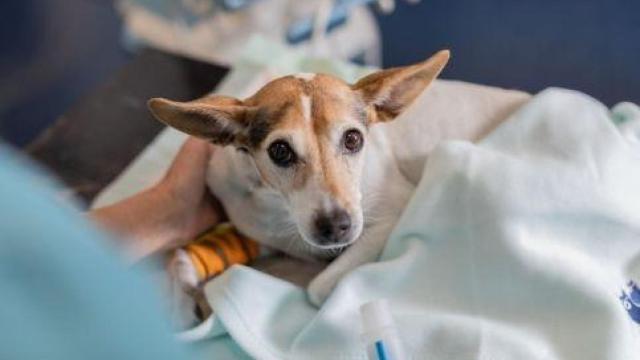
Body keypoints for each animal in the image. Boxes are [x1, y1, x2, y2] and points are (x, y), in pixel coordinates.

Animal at [150, 49, 528, 310]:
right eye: (280, 151)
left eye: (353, 139)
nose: (335, 226)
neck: (279, 210)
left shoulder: (389, 216)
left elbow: (317, 289)